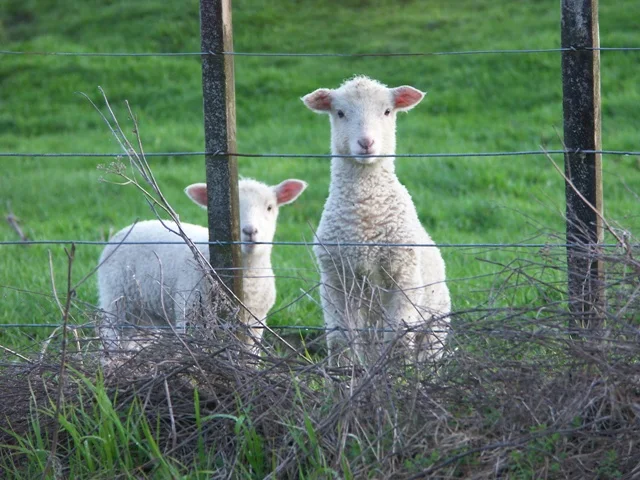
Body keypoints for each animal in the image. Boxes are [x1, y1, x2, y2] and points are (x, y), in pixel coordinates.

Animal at [97, 178, 307, 353]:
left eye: (270, 207)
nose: (250, 231)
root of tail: (125, 230)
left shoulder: (255, 322)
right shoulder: (191, 316)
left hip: (146, 314)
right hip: (116, 300)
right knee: (111, 337)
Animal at [302, 75, 451, 364]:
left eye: (387, 111)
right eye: (340, 113)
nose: (366, 143)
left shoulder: (404, 279)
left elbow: (398, 342)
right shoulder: (335, 282)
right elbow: (341, 343)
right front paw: (343, 377)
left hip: (436, 325)